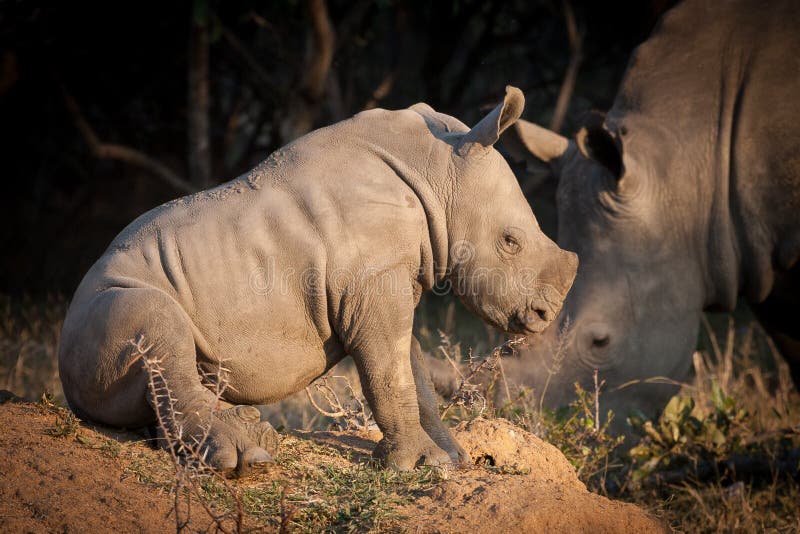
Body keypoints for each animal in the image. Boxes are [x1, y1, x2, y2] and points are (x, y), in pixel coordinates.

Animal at [59, 86, 580, 476]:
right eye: (509, 242)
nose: (545, 314)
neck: (438, 167)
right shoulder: (371, 281)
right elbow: (389, 372)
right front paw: (418, 465)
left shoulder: (386, 279)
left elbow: (410, 367)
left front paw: (451, 459)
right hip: (107, 300)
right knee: (155, 319)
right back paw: (250, 454)